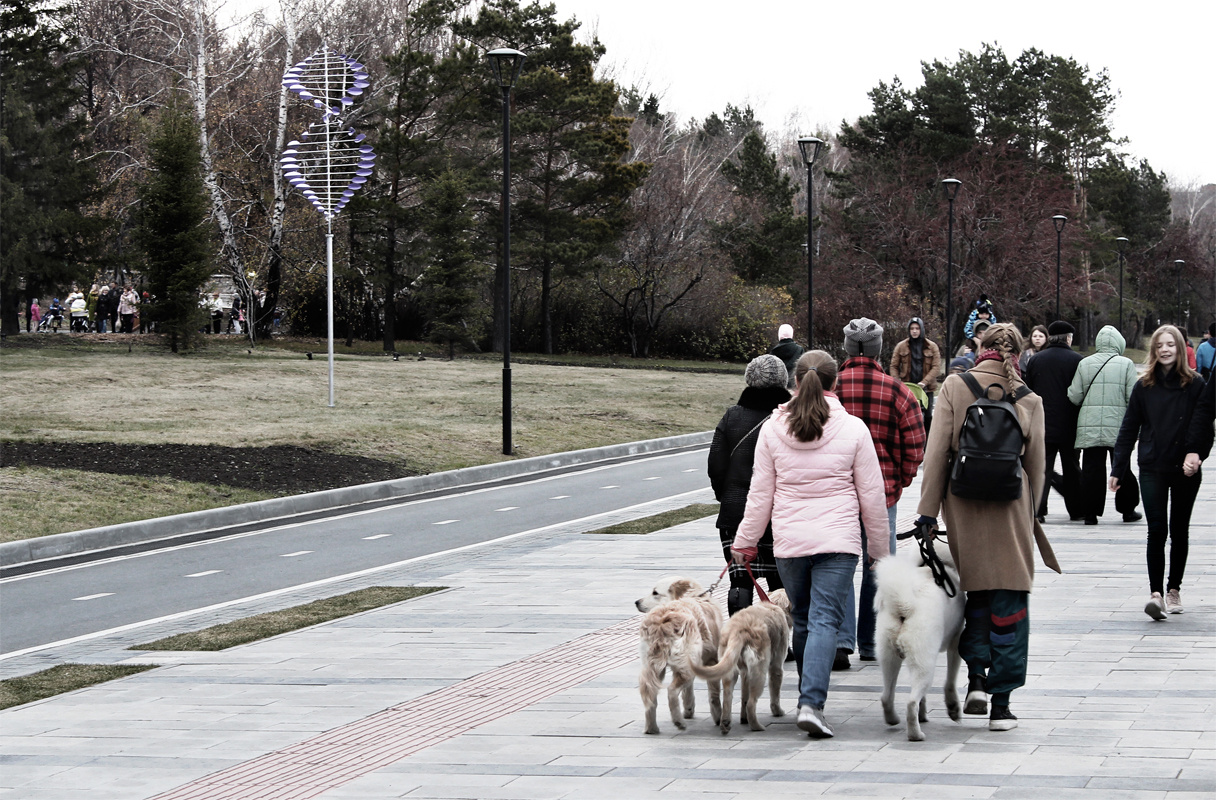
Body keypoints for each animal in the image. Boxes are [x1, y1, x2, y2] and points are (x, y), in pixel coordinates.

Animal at [636, 576, 724, 734]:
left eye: (655, 592)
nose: (636, 602)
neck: (694, 596)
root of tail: (662, 621)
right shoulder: (712, 660)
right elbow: (714, 694)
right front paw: (718, 716)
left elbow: (688, 691)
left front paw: (689, 709)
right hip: (687, 664)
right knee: (671, 690)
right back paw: (678, 721)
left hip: (653, 665)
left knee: (650, 694)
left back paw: (651, 728)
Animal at [689, 589, 792, 734]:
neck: (773, 605)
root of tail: (738, 630)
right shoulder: (776, 667)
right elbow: (774, 694)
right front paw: (777, 711)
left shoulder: (745, 672)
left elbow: (744, 697)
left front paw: (743, 718)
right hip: (759, 671)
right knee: (751, 703)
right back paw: (756, 726)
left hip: (730, 667)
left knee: (728, 696)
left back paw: (725, 722)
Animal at [874, 534, 965, 741]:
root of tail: (905, 607)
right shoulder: (956, 641)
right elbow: (950, 679)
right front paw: (953, 707)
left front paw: (923, 714)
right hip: (923, 663)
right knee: (911, 702)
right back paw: (916, 734)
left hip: (888, 655)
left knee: (886, 696)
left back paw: (893, 719)